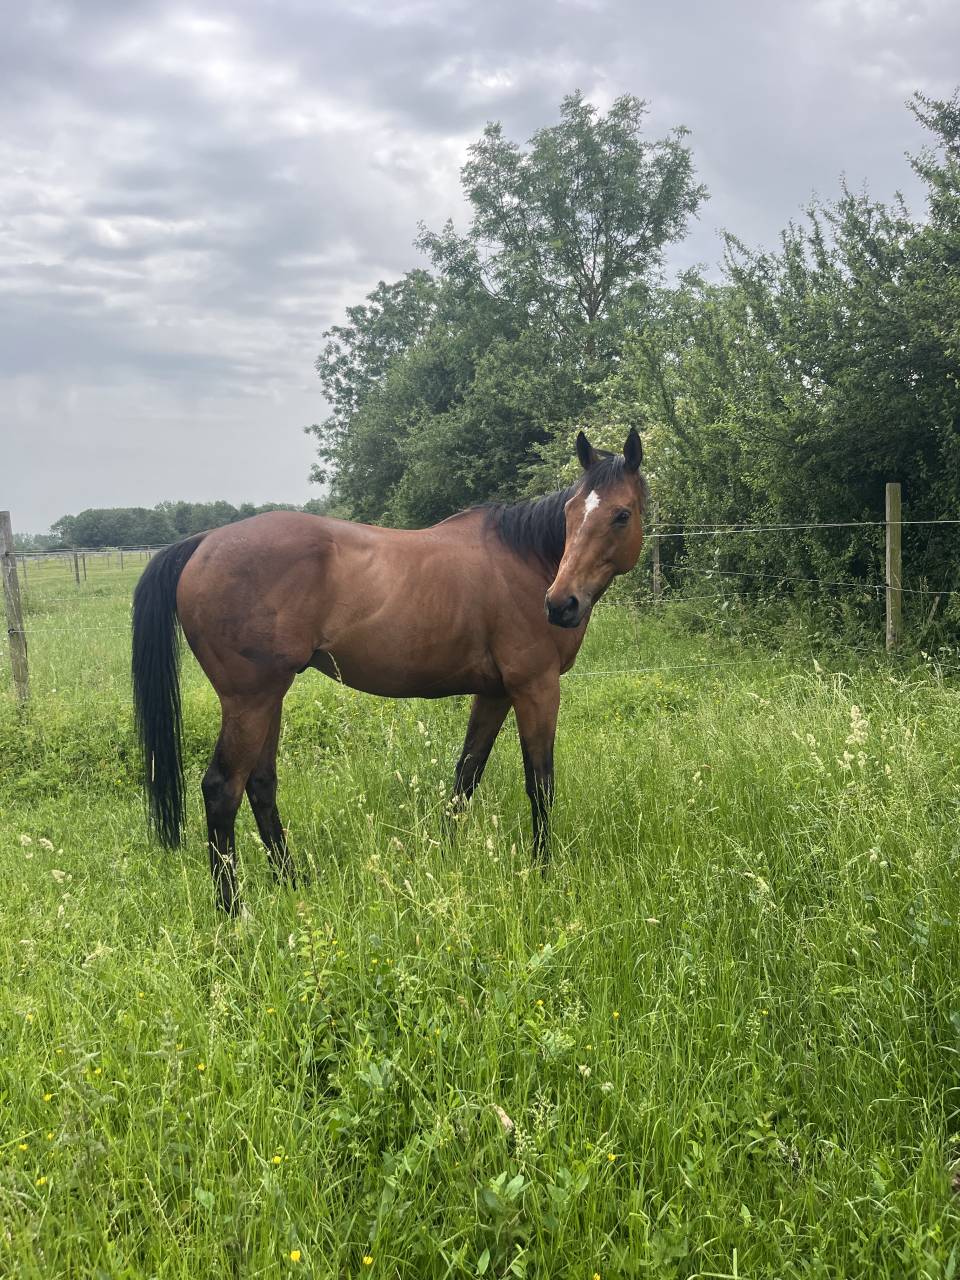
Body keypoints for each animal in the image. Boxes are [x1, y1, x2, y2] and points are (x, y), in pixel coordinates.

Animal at [131, 429, 648, 914]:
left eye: (620, 514)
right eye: (571, 515)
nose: (561, 604)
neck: (526, 559)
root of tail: (203, 542)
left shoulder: (495, 693)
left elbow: (466, 775)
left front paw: (447, 853)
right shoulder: (535, 688)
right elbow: (539, 783)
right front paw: (542, 869)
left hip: (268, 700)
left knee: (260, 785)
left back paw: (292, 882)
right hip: (249, 702)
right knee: (222, 790)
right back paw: (233, 910)